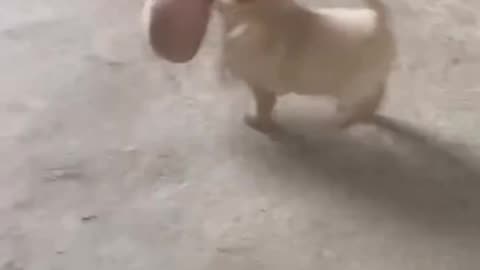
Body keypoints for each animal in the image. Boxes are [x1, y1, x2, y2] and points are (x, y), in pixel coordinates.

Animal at [216, 0, 396, 132]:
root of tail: (378, 19)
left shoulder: (260, 84)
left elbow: (263, 106)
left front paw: (259, 122)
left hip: (357, 83)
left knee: (368, 96)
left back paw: (351, 115)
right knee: (378, 92)